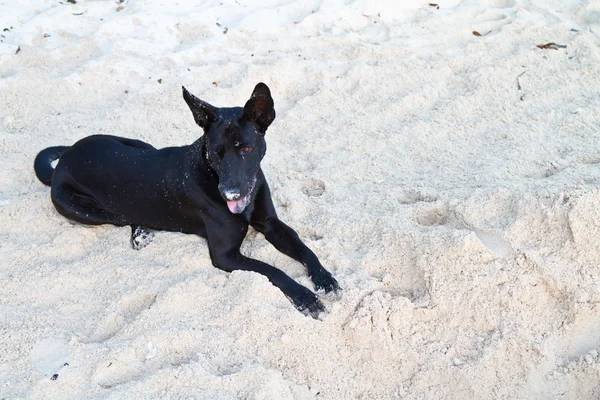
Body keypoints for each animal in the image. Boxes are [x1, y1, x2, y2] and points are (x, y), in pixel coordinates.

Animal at [34, 83, 338, 318]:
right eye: (215, 152)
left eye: (246, 149)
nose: (230, 193)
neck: (212, 174)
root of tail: (65, 158)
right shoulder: (226, 256)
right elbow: (271, 270)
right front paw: (304, 297)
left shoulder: (271, 224)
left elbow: (303, 247)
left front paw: (324, 278)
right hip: (84, 208)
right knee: (124, 217)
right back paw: (140, 233)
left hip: (138, 143)